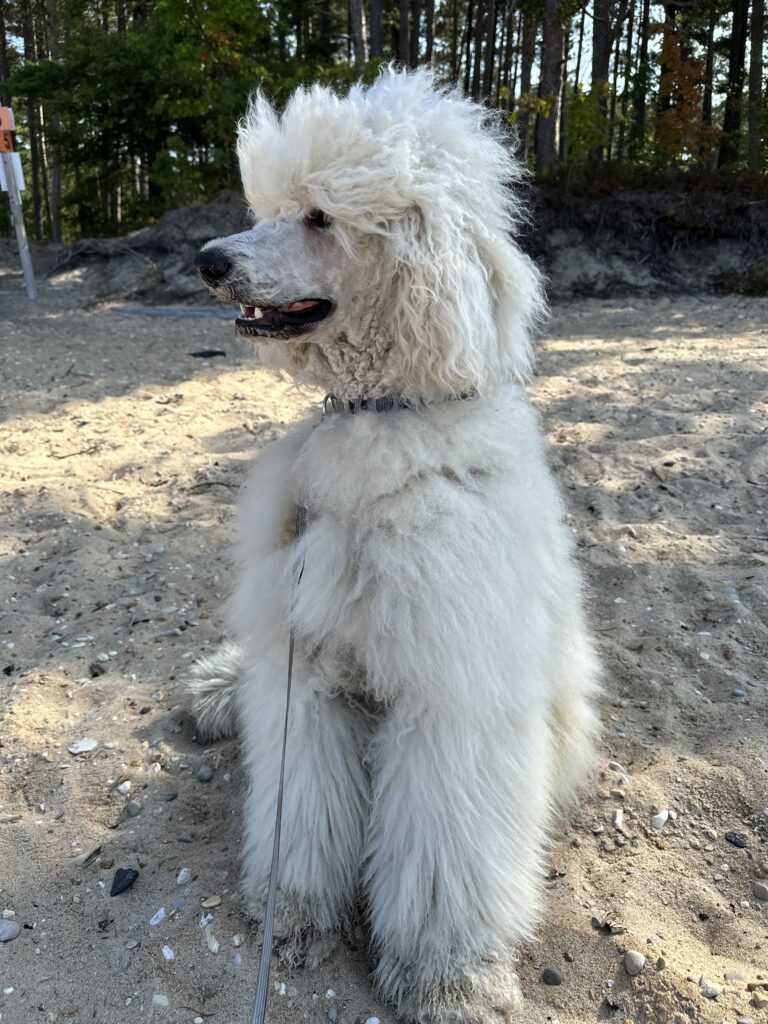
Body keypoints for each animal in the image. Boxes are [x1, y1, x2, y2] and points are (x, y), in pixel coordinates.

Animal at [190, 68, 600, 1024]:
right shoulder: (307, 669)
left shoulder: (452, 698)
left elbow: (445, 850)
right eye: (272, 205)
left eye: (320, 217)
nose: (210, 260)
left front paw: (450, 978)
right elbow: (302, 804)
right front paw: (297, 910)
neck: (385, 416)